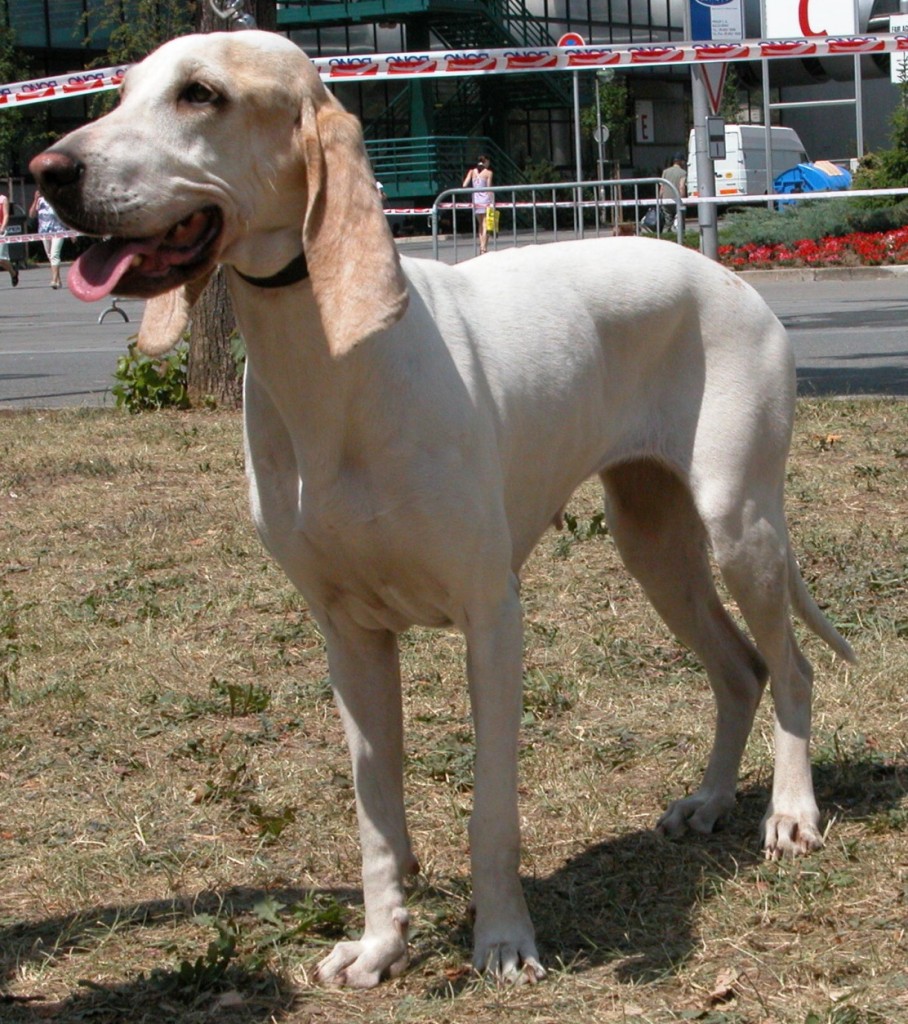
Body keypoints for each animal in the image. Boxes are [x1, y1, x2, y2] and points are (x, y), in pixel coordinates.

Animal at [31, 32, 855, 987]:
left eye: (201, 94)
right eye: (122, 92)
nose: (48, 171)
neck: (332, 366)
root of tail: (730, 278)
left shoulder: (491, 617)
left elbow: (491, 808)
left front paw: (503, 940)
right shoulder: (349, 637)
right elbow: (376, 818)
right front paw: (381, 945)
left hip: (739, 525)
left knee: (790, 667)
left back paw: (790, 813)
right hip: (652, 542)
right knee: (739, 669)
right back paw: (712, 801)